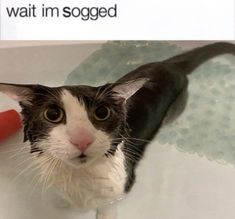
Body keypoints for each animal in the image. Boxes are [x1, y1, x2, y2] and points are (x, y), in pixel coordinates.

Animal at [0, 42, 234, 219]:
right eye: (52, 114)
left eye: (102, 112)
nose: (82, 139)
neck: (79, 174)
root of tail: (168, 64)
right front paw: (61, 201)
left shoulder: (123, 182)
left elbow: (109, 203)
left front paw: (105, 214)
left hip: (177, 103)